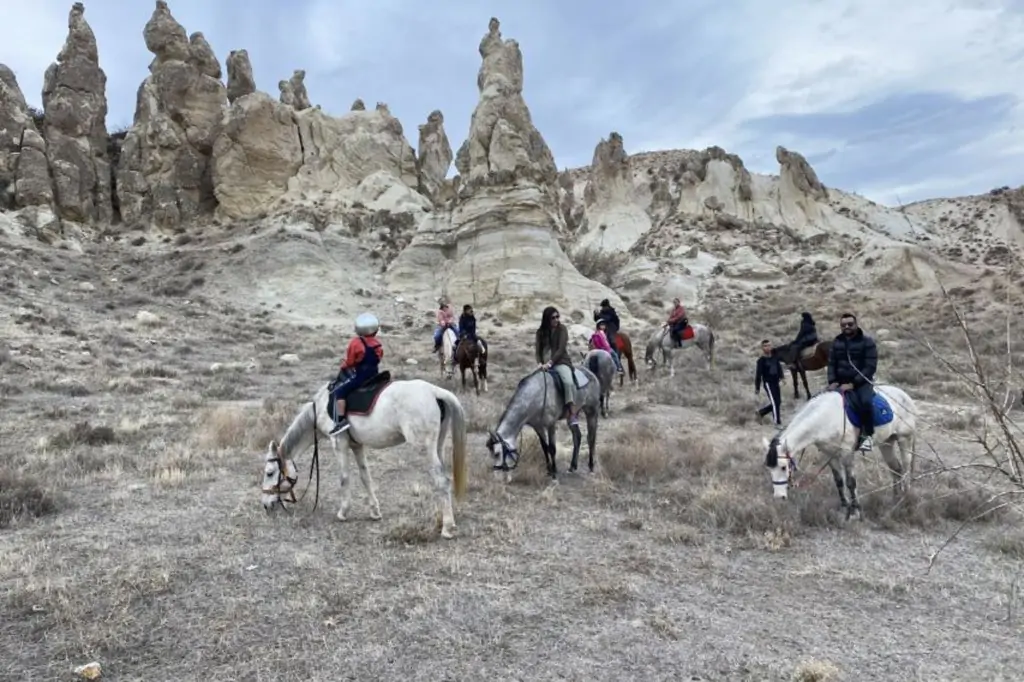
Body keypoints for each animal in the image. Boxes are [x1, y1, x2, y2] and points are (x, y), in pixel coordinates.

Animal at [260, 372, 468, 536]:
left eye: (270, 473)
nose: (266, 505)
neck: (321, 407)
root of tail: (434, 391)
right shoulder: (357, 446)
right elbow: (365, 476)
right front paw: (374, 511)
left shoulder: (340, 444)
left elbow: (344, 478)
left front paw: (343, 512)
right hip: (437, 446)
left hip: (425, 448)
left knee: (441, 481)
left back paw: (447, 527)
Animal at [761, 382, 921, 520]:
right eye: (769, 468)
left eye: (783, 467)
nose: (779, 497)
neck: (826, 418)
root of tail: (905, 396)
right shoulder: (830, 454)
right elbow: (839, 481)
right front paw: (844, 507)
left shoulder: (846, 454)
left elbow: (851, 482)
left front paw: (855, 512)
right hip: (886, 443)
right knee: (896, 468)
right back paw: (895, 498)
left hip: (904, 439)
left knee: (906, 467)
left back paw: (905, 496)